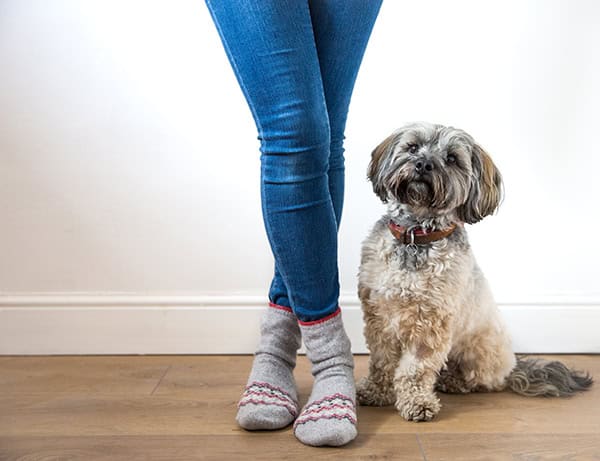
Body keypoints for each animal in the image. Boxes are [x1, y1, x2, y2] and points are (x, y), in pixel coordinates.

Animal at [356, 122, 592, 420]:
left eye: (451, 159)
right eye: (412, 147)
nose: (423, 164)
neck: (416, 236)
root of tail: (512, 364)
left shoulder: (430, 324)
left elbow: (415, 369)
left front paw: (417, 403)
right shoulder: (380, 316)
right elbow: (382, 362)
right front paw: (375, 391)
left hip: (478, 350)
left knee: (483, 380)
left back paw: (452, 381)